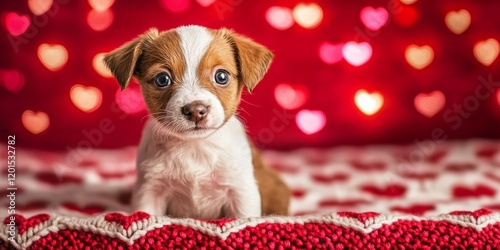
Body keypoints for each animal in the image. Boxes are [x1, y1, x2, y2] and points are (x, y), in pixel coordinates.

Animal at [104, 24, 292, 218]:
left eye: (221, 76)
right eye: (162, 79)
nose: (196, 110)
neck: (195, 147)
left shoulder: (241, 192)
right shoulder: (150, 190)